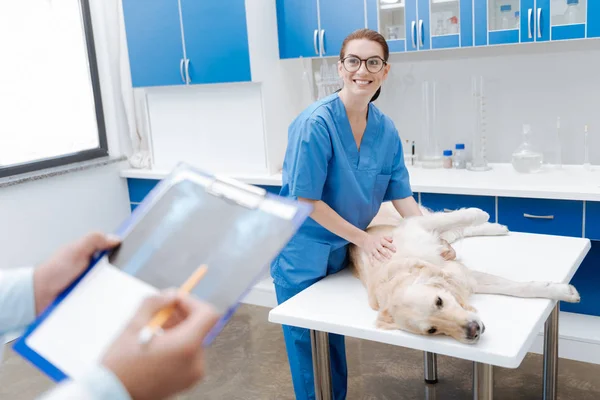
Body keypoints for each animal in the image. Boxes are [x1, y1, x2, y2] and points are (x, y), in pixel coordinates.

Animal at [352, 203, 580, 344]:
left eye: (439, 301)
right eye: (432, 330)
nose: (473, 331)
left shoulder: (414, 227)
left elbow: (455, 217)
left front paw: (479, 213)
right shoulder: (464, 277)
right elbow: (516, 287)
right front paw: (562, 291)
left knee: (449, 224)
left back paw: (494, 225)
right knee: (455, 232)